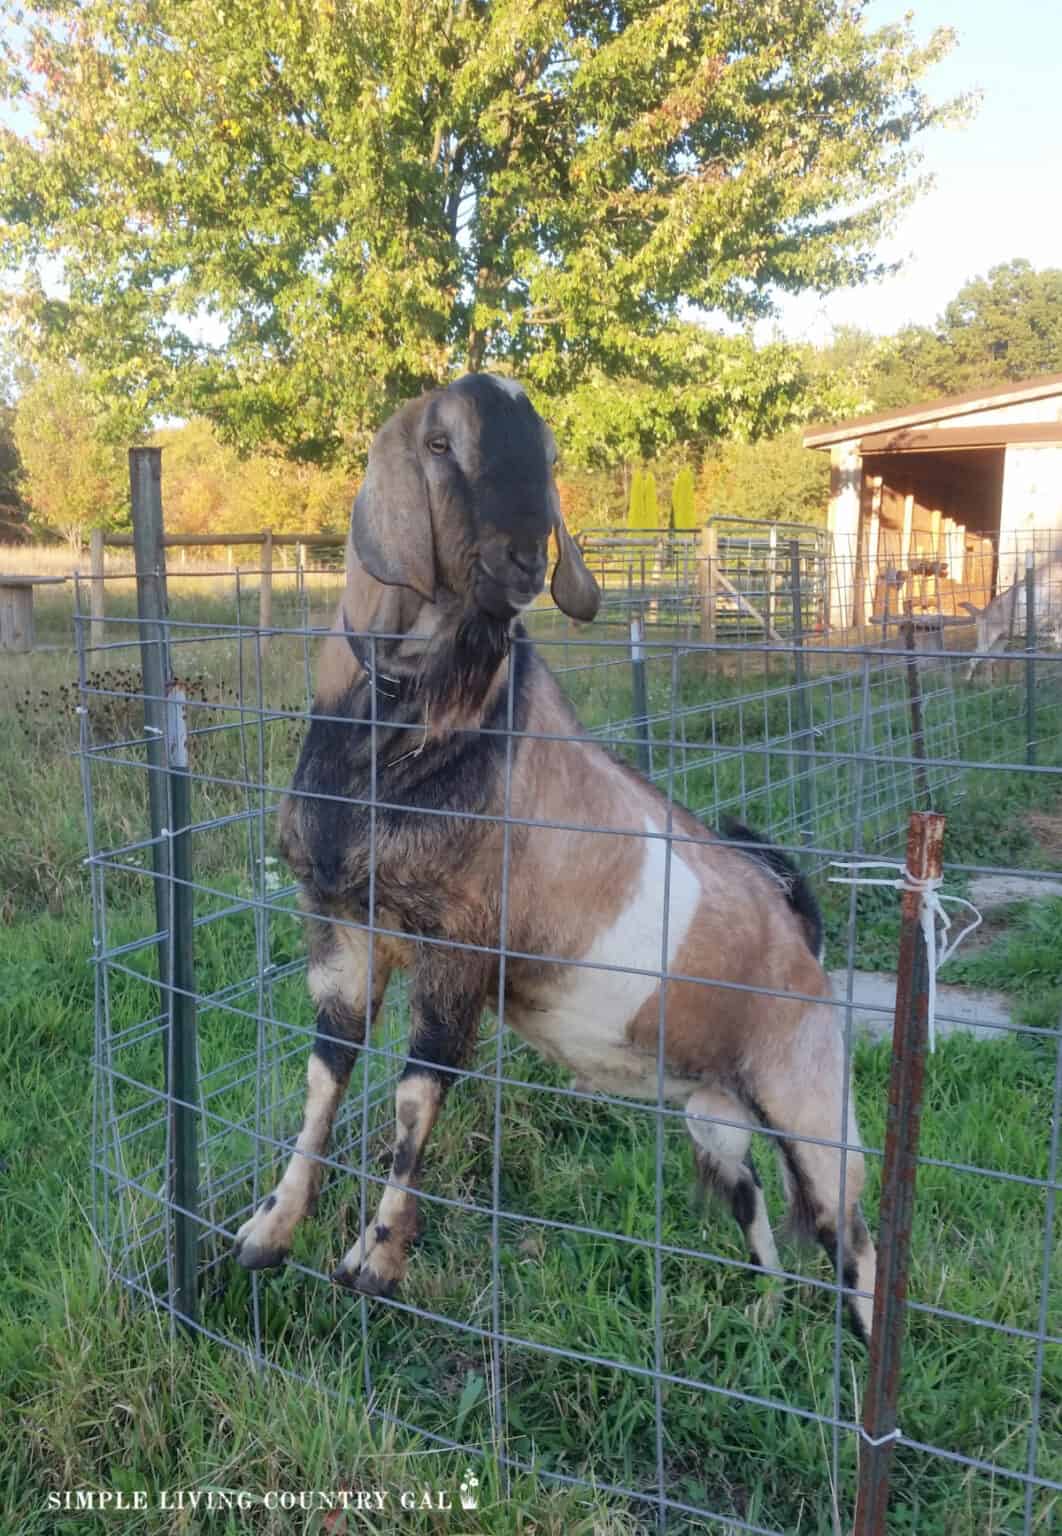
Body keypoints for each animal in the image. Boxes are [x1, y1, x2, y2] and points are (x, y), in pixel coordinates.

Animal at [233, 373, 877, 1342]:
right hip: (715, 1117)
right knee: (757, 1207)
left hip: (812, 1105)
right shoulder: (340, 924)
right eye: (441, 443)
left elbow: (414, 1097)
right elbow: (324, 1080)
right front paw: (267, 1233)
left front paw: (375, 1262)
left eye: (547, 450)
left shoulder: (460, 944)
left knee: (857, 1240)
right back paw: (766, 1318)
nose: (524, 559)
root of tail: (805, 942)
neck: (404, 743)